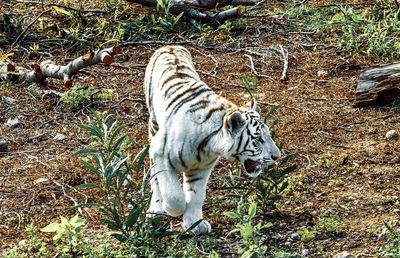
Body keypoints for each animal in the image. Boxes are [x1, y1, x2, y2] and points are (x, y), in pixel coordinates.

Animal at [145, 45, 282, 235]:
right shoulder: (160, 153)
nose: (277, 156)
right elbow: (174, 196)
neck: (208, 145)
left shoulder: (201, 167)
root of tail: (169, 46)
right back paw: (156, 210)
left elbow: (196, 195)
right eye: (259, 139)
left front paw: (195, 224)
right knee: (155, 178)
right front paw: (172, 210)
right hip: (154, 126)